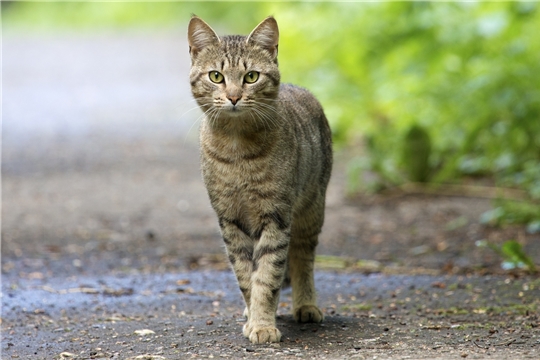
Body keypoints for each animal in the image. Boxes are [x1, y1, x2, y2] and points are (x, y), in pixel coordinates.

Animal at [190, 15, 334, 344]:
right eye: (216, 76)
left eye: (251, 76)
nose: (233, 97)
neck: (237, 149)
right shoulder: (230, 220)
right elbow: (247, 275)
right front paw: (255, 316)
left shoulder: (276, 216)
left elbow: (268, 274)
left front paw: (263, 324)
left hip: (311, 210)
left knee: (302, 258)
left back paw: (306, 305)